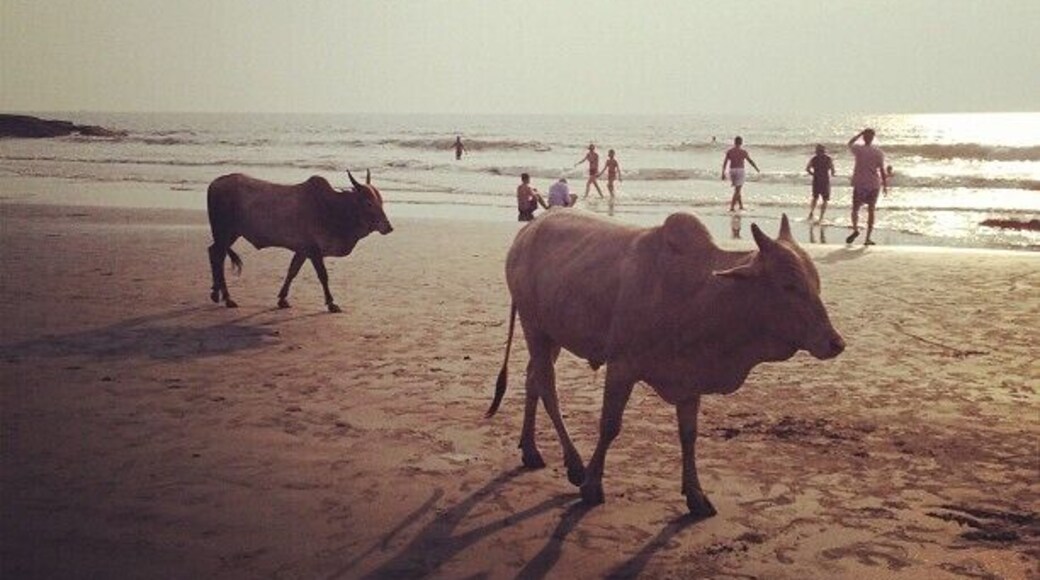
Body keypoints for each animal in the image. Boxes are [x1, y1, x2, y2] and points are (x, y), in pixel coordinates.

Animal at [206, 170, 392, 312]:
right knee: (217, 255)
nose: (388, 227)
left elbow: (292, 272)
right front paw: (331, 303)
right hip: (224, 232)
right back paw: (227, 298)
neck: (332, 208)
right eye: (368, 203)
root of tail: (214, 183)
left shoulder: (302, 250)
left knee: (214, 253)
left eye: (381, 201)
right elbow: (323, 276)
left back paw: (216, 293)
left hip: (228, 234)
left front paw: (282, 299)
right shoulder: (313, 250)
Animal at [486, 209, 844, 518]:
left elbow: (689, 435)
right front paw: (592, 485)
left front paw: (696, 496)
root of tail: (529, 229)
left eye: (816, 283)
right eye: (789, 285)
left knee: (532, 379)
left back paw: (530, 450)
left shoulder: (690, 378)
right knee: (547, 387)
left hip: (552, 336)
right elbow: (610, 426)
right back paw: (575, 466)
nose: (835, 343)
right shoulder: (622, 366)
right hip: (534, 327)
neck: (699, 293)